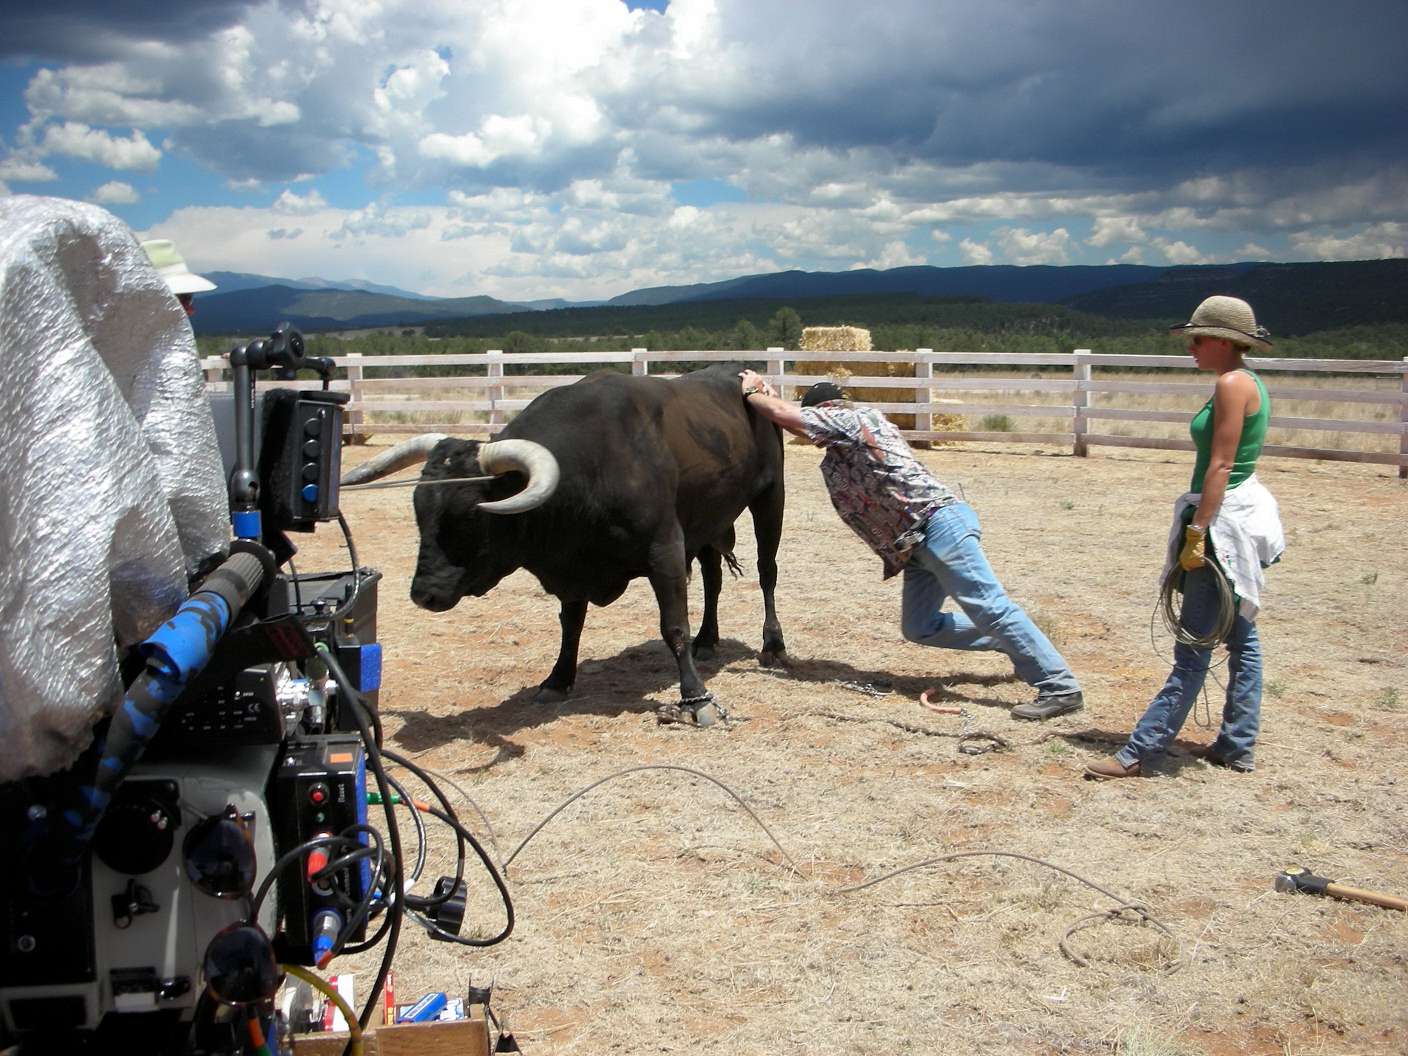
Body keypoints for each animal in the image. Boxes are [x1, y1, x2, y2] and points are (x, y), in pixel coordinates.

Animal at [336, 366, 788, 726]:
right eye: (420, 510)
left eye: (469, 517)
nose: (423, 594)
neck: (594, 461)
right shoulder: (572, 563)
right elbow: (571, 625)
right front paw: (558, 678)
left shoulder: (666, 551)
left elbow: (674, 626)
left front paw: (695, 697)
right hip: (711, 518)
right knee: (713, 577)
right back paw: (708, 639)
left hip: (769, 499)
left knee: (767, 572)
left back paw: (772, 643)